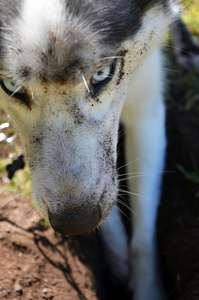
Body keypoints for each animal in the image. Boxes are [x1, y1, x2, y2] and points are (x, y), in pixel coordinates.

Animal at [0, 0, 191, 300]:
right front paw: (117, 259)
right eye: (11, 86)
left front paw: (148, 288)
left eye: (101, 74)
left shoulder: (146, 107)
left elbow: (145, 225)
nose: (74, 223)